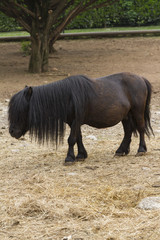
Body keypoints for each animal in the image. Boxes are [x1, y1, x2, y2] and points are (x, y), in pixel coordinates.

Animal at [8, 72, 153, 163]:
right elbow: (78, 138)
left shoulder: (76, 121)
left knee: (141, 128)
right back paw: (121, 151)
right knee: (128, 131)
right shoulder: (73, 122)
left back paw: (141, 150)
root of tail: (141, 78)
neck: (67, 97)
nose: (12, 131)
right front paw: (81, 155)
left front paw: (69, 158)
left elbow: (71, 139)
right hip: (126, 116)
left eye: (21, 110)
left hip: (137, 111)